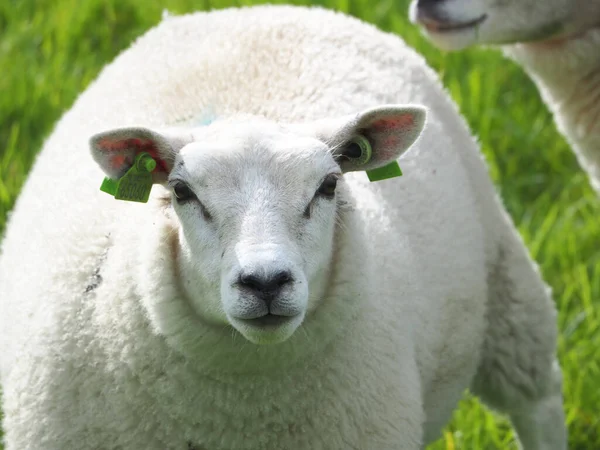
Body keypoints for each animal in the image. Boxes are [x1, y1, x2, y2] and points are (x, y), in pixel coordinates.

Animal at [0, 4, 568, 450]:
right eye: (182, 192)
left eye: (329, 185)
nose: (266, 282)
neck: (242, 405)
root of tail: (250, 9)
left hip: (508, 288)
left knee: (537, 398)